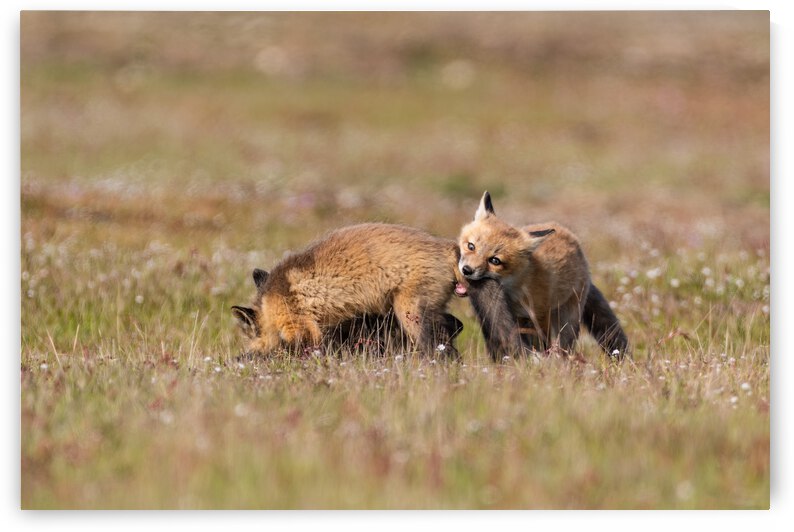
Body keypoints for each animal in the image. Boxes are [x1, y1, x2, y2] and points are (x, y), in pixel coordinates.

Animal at [231, 223, 465, 358]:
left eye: (250, 334)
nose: (248, 351)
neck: (271, 301)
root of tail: (448, 247)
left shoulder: (301, 327)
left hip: (411, 315)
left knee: (443, 351)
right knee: (455, 326)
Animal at [456, 191, 629, 359]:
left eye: (495, 261)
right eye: (471, 246)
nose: (467, 270)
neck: (513, 291)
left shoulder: (538, 316)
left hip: (566, 319)